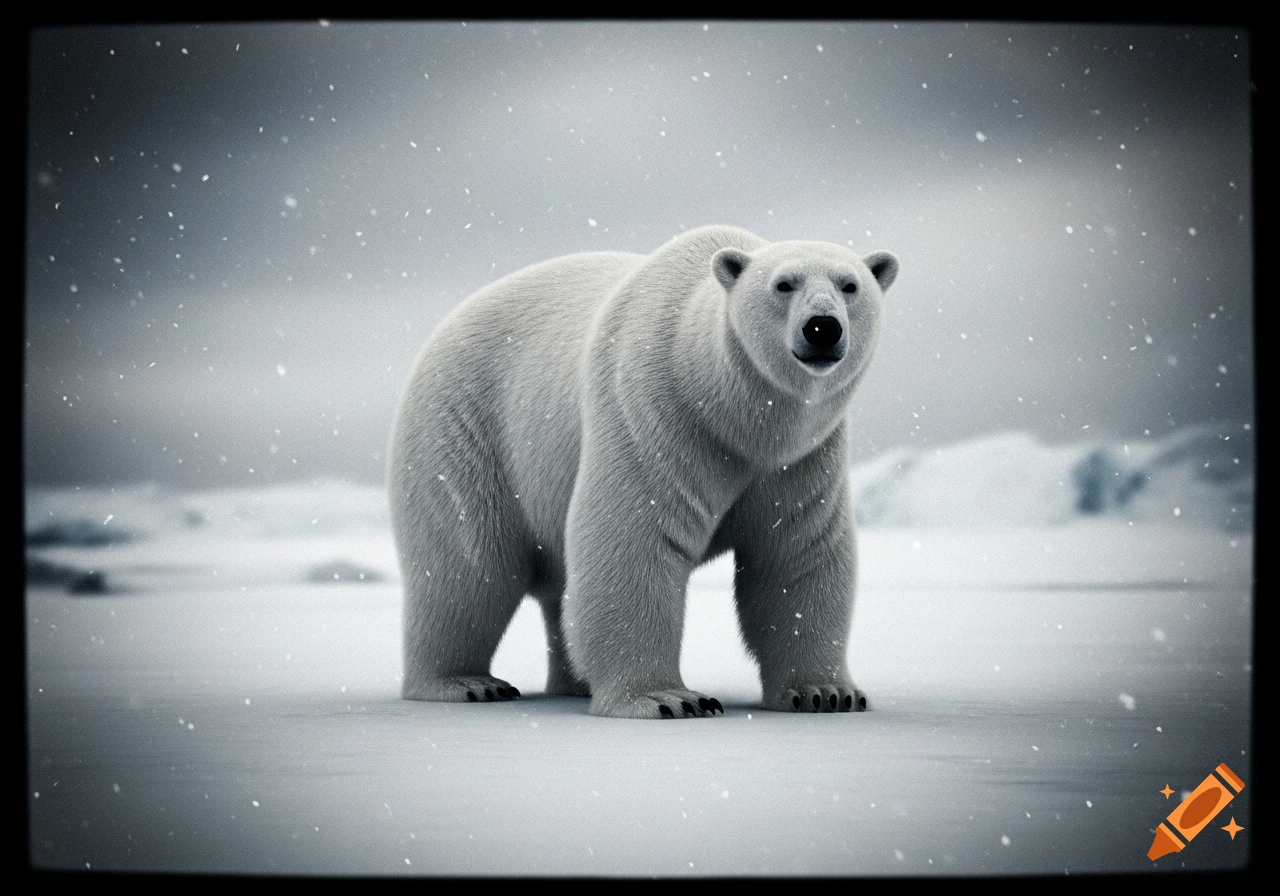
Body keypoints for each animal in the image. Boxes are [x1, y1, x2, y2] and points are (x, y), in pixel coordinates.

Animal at [388, 225, 897, 719]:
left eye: (850, 285)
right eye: (783, 284)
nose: (822, 328)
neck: (735, 417)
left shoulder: (801, 460)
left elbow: (797, 552)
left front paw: (825, 693)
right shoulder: (653, 411)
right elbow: (633, 538)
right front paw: (671, 699)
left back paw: (573, 684)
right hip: (466, 428)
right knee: (468, 566)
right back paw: (466, 683)